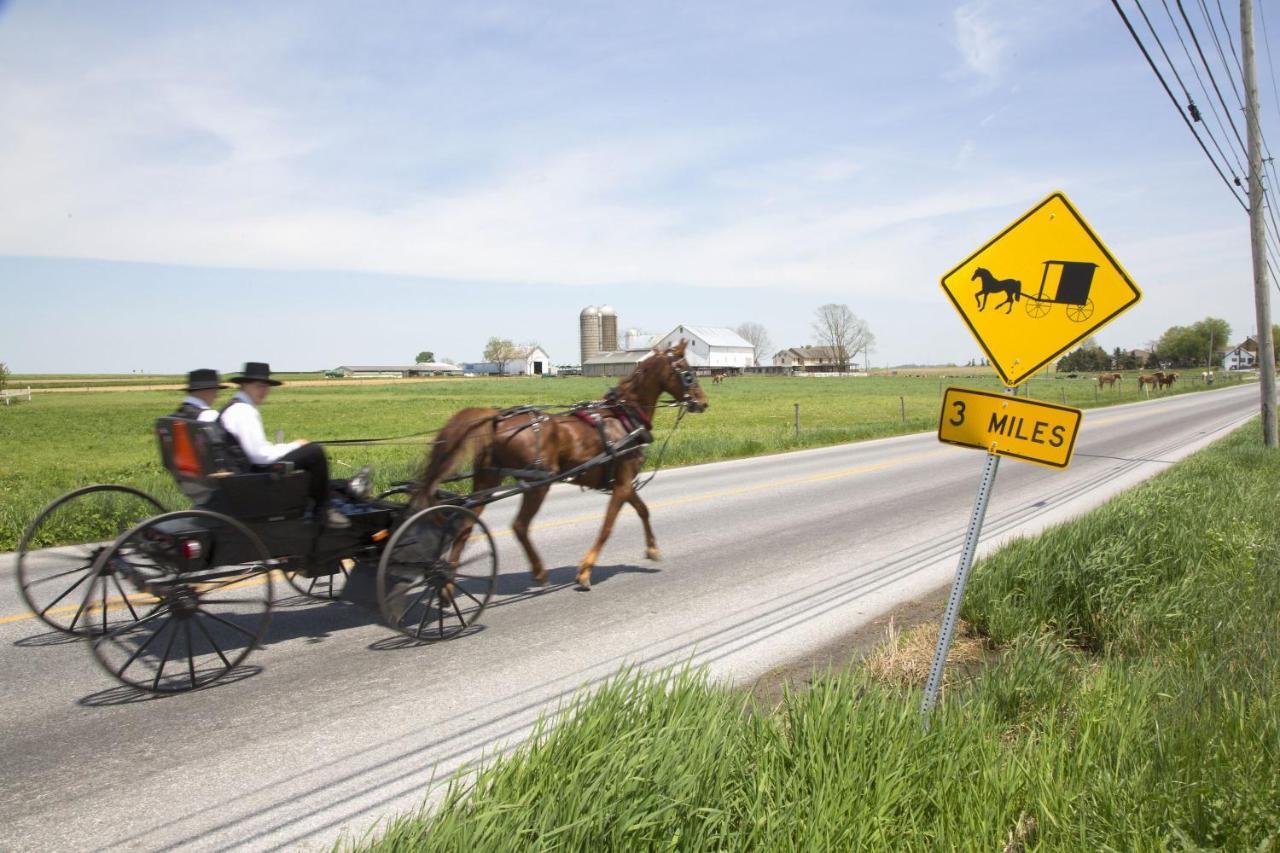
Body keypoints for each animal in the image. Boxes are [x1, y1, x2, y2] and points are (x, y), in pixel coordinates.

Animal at [412, 335, 706, 589]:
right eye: (688, 372)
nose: (703, 402)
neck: (624, 417)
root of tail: (497, 419)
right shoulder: (622, 483)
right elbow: (607, 527)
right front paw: (585, 571)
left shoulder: (623, 483)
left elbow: (643, 510)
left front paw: (653, 548)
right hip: (538, 483)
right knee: (519, 526)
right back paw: (538, 571)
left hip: (487, 480)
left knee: (465, 526)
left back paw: (447, 586)